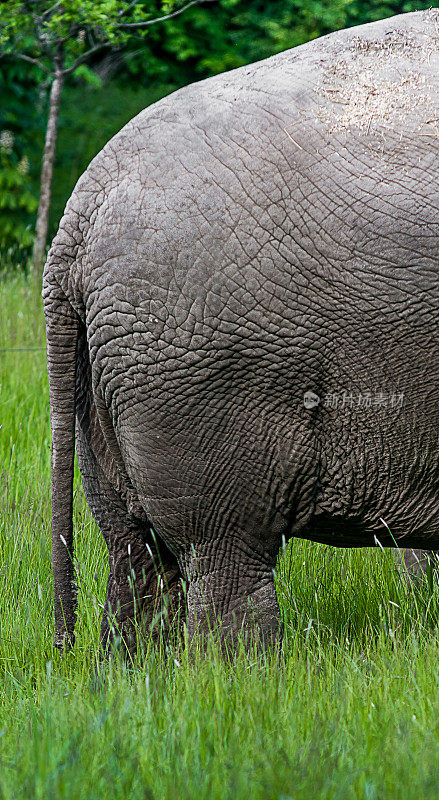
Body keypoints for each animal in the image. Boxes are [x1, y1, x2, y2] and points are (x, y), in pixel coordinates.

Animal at [43, 9, 439, 652]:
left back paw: (135, 670)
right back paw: (244, 672)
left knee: (133, 547)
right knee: (222, 550)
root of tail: (81, 209)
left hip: (108, 366)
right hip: (196, 368)